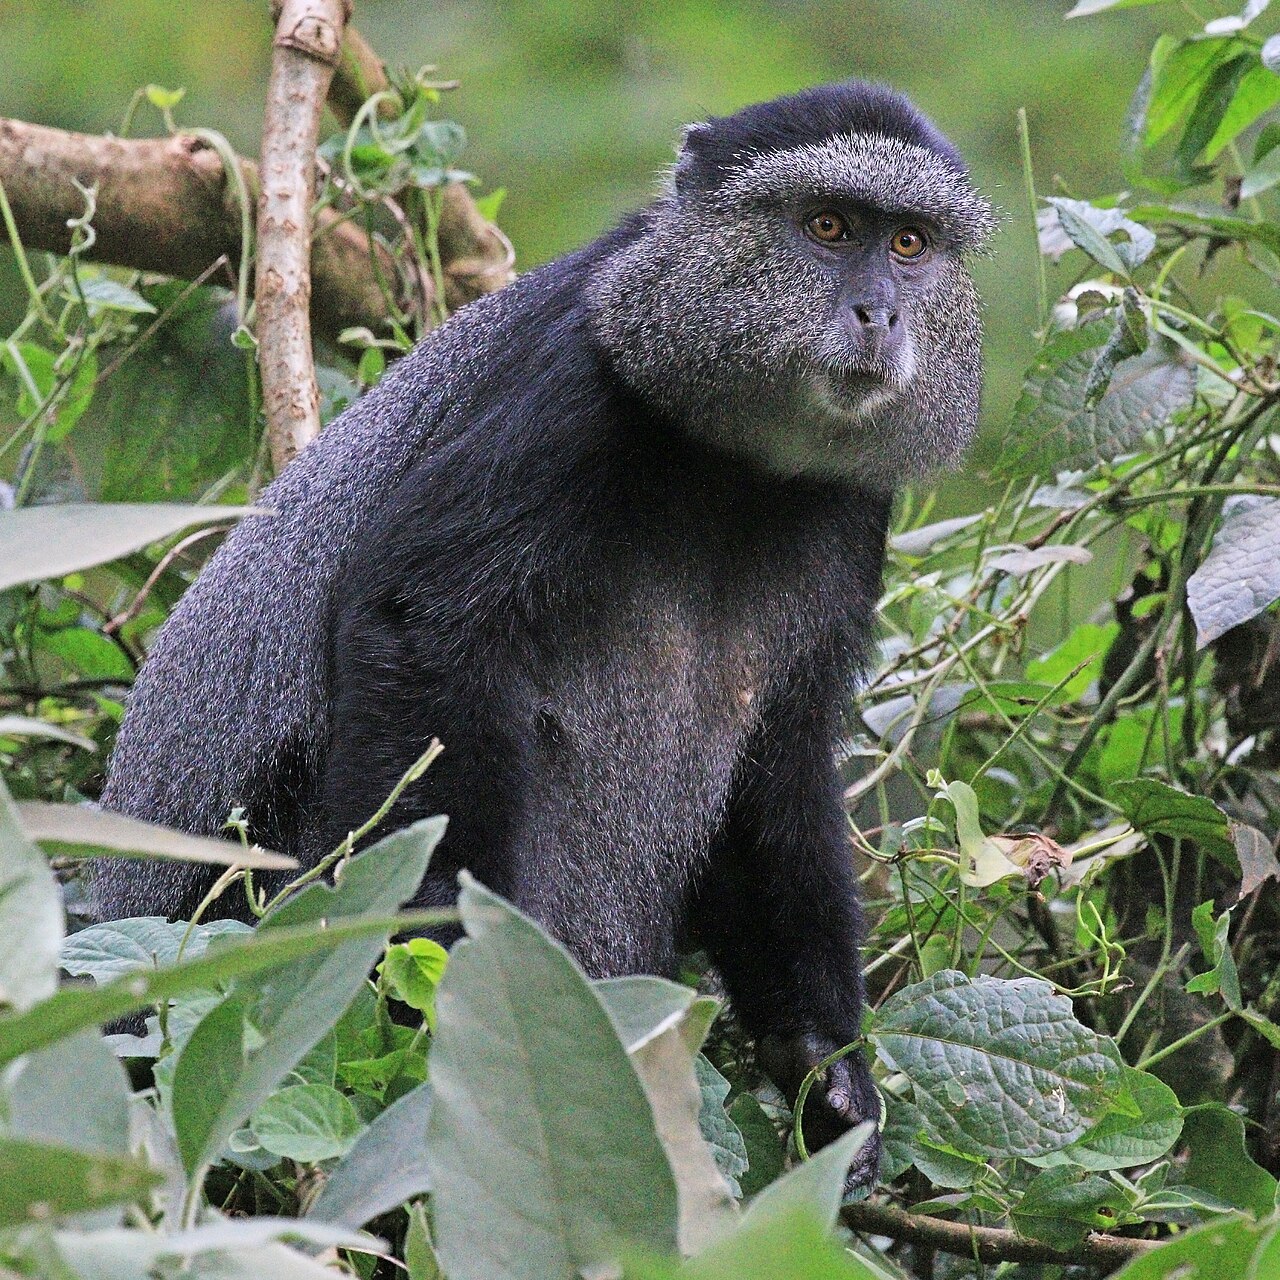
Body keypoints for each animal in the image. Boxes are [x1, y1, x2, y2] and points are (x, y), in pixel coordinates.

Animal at [97, 80, 995, 1187]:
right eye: (827, 227)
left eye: (910, 242)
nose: (880, 311)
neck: (735, 462)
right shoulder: (567, 392)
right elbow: (419, 623)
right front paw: (454, 976)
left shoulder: (852, 509)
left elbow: (776, 755)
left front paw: (825, 1066)